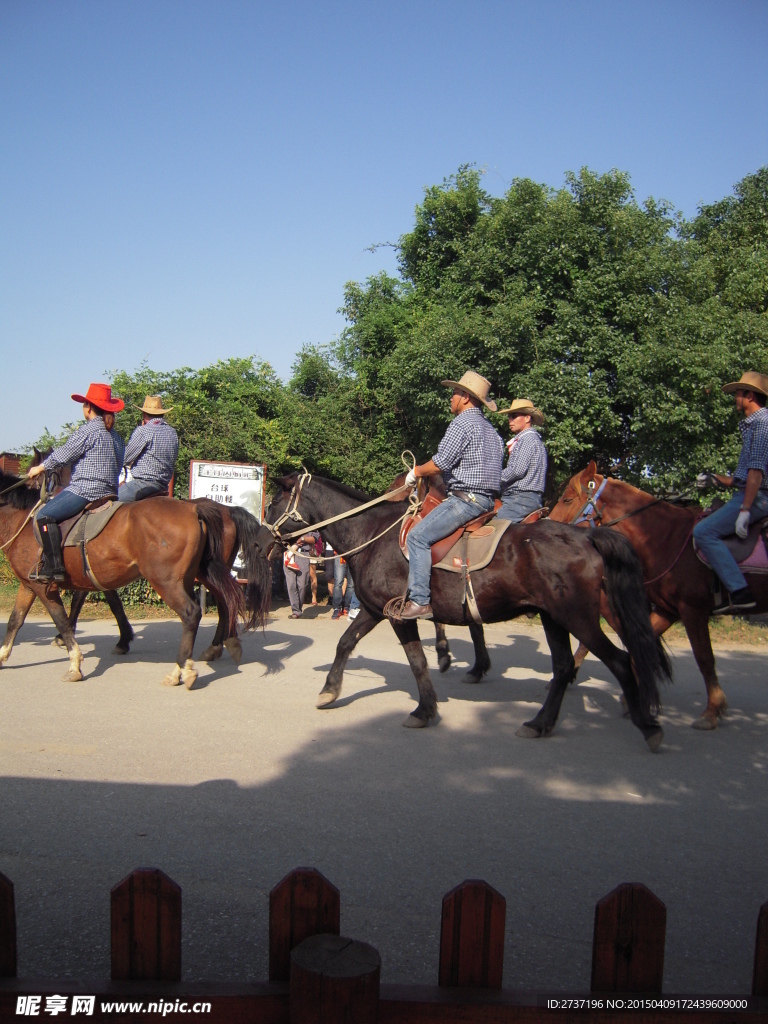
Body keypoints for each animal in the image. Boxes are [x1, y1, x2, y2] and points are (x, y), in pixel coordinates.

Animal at [0, 468, 270, 684]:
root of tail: (197, 509)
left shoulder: (46, 588)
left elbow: (64, 620)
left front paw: (76, 662)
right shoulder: (29, 585)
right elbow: (15, 620)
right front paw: (3, 656)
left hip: (166, 580)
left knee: (193, 613)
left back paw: (181, 670)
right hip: (201, 573)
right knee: (226, 600)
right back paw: (221, 646)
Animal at [256, 473, 671, 753]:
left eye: (274, 502)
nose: (259, 542)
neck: (372, 533)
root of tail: (587, 535)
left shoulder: (398, 615)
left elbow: (416, 660)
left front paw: (424, 708)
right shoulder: (374, 610)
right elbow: (346, 644)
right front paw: (330, 690)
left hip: (579, 618)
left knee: (620, 660)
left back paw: (648, 725)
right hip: (554, 618)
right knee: (564, 667)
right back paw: (540, 723)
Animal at [548, 460, 768, 733]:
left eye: (567, 499)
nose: (545, 526)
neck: (666, 538)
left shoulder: (692, 610)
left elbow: (705, 658)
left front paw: (712, 711)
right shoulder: (668, 610)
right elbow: (640, 643)